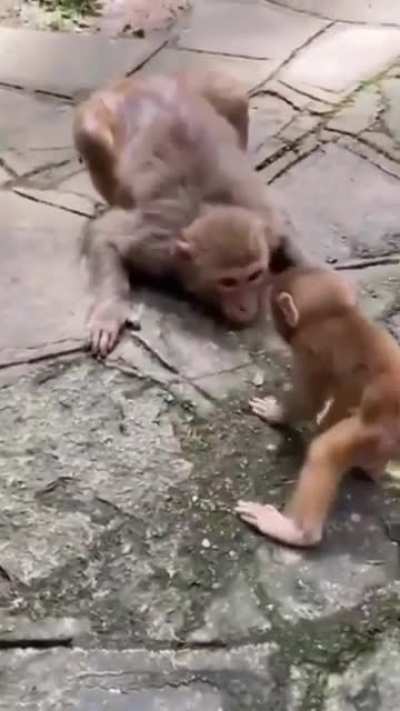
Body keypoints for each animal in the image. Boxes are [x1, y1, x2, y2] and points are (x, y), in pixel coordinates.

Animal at [75, 72, 305, 356]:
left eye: (254, 275)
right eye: (228, 282)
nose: (245, 307)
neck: (209, 206)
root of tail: (139, 82)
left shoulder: (269, 225)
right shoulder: (155, 243)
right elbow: (103, 234)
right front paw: (108, 314)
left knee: (234, 94)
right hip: (100, 110)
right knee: (91, 137)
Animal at [236, 266, 400, 547]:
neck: (339, 313)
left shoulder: (310, 348)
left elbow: (310, 400)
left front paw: (276, 413)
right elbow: (347, 389)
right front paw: (326, 418)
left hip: (385, 432)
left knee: (327, 452)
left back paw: (296, 532)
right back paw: (372, 467)